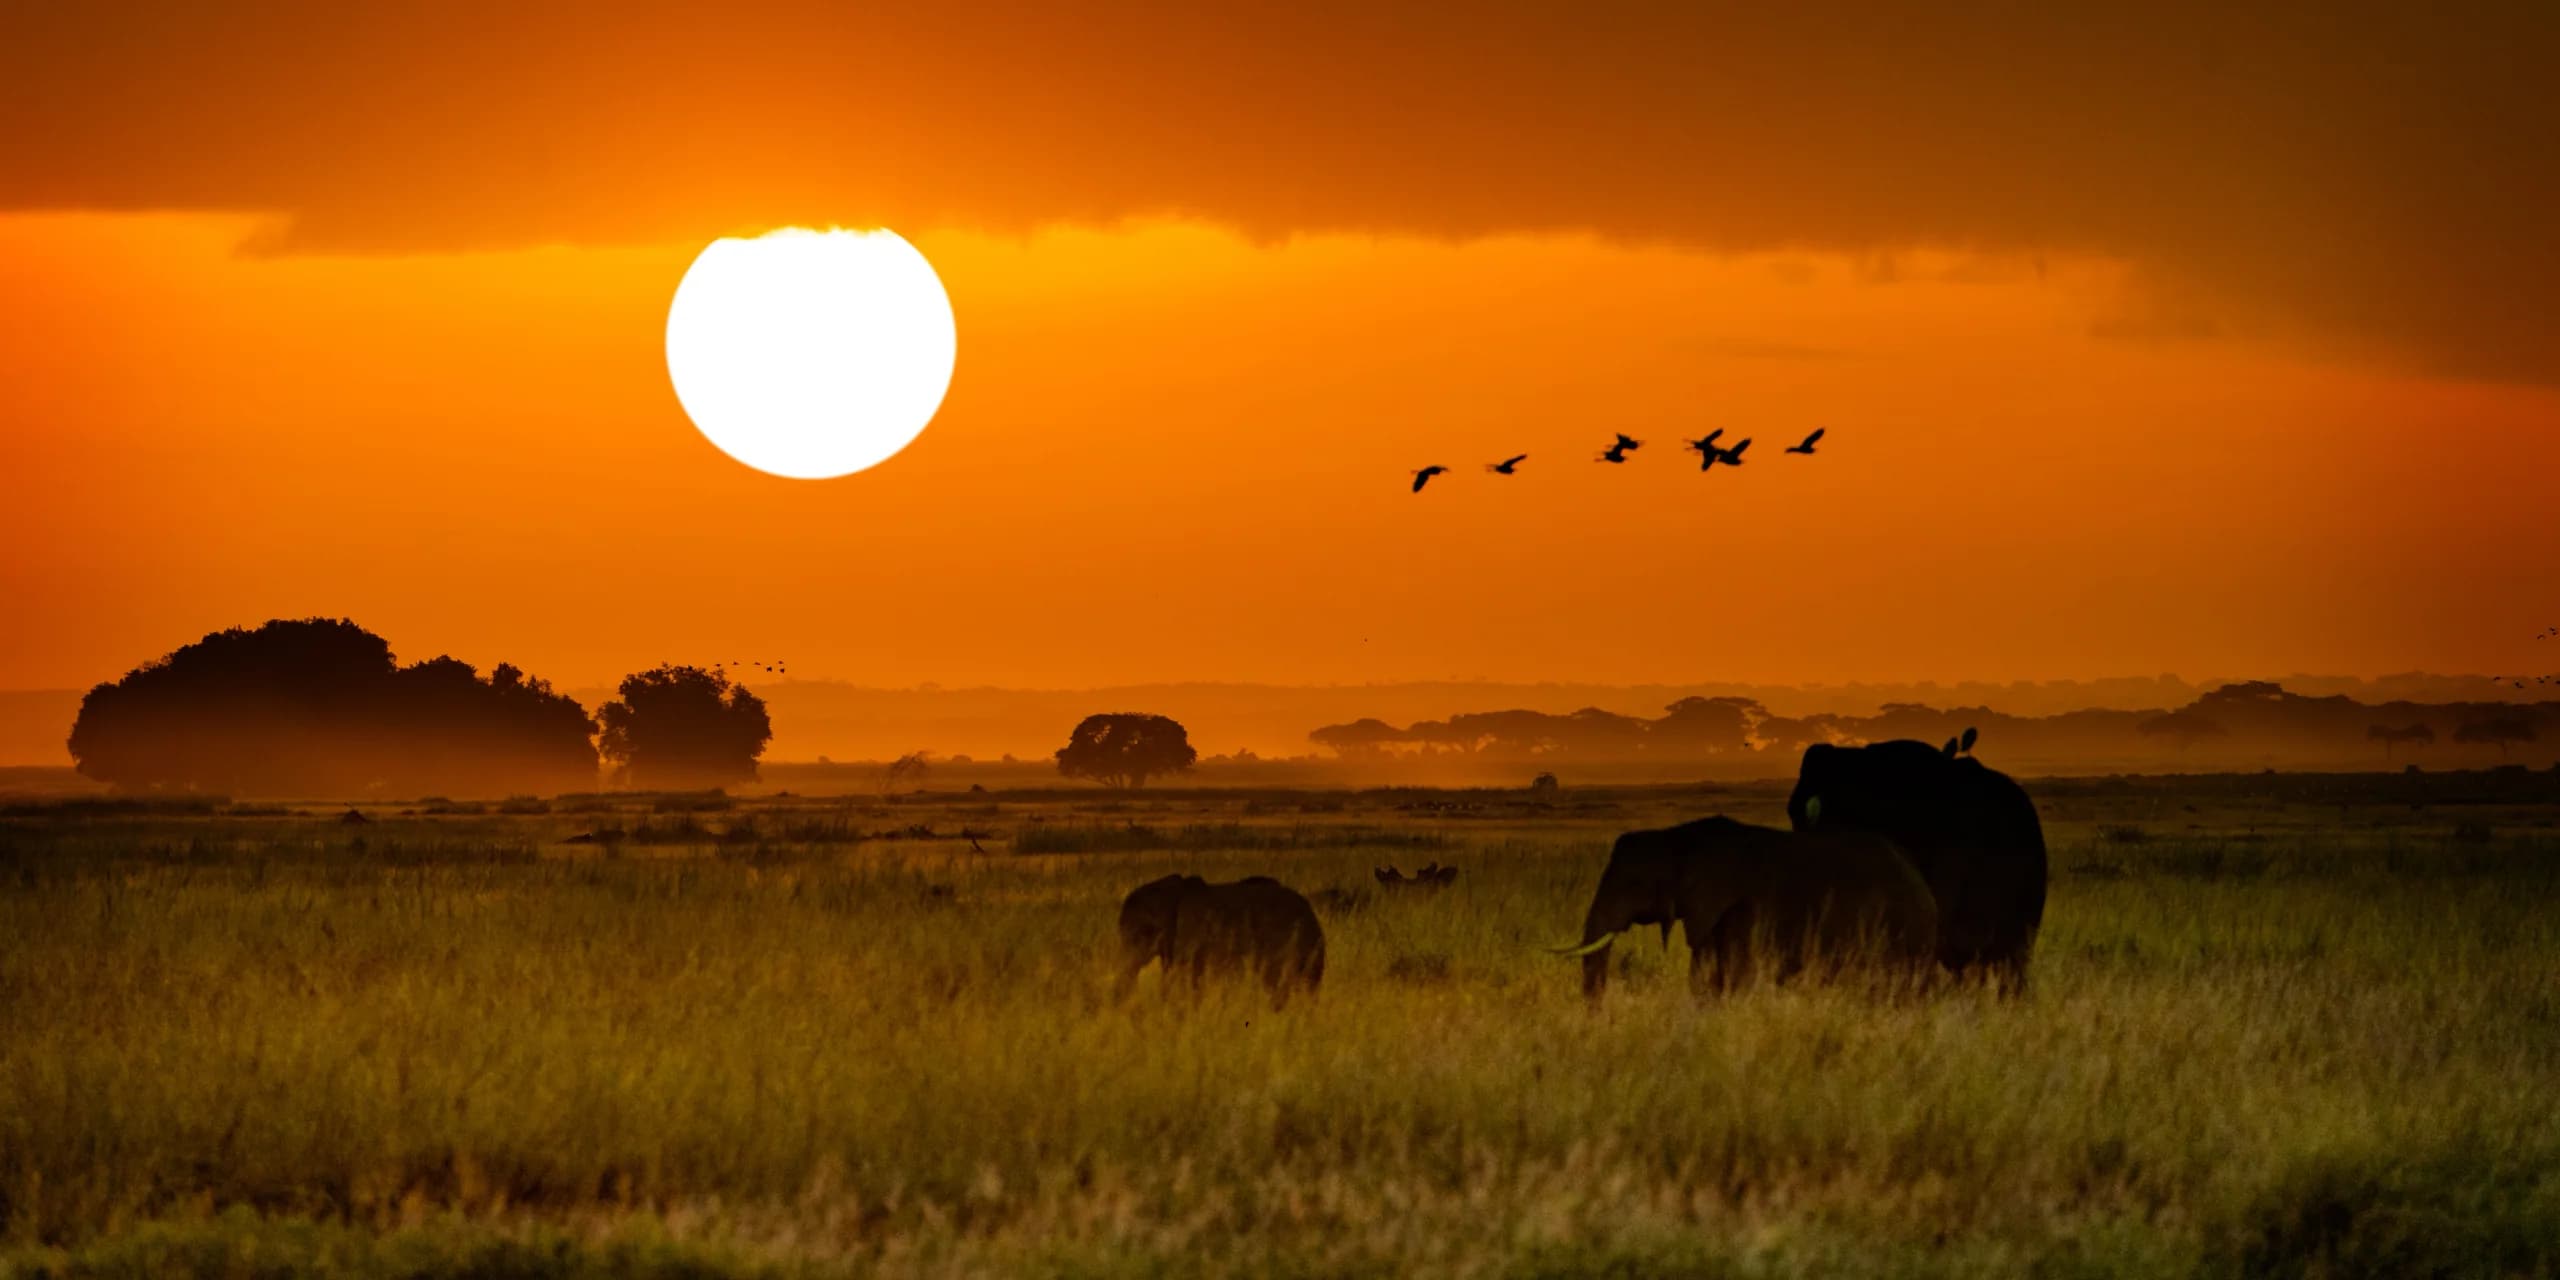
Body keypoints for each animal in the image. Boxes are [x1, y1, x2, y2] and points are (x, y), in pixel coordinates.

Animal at [1558, 816, 1939, 1003]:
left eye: (1633, 883)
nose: (1599, 1014)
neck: (1677, 838)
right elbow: (1704, 972)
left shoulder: (1742, 906)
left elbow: (1737, 973)